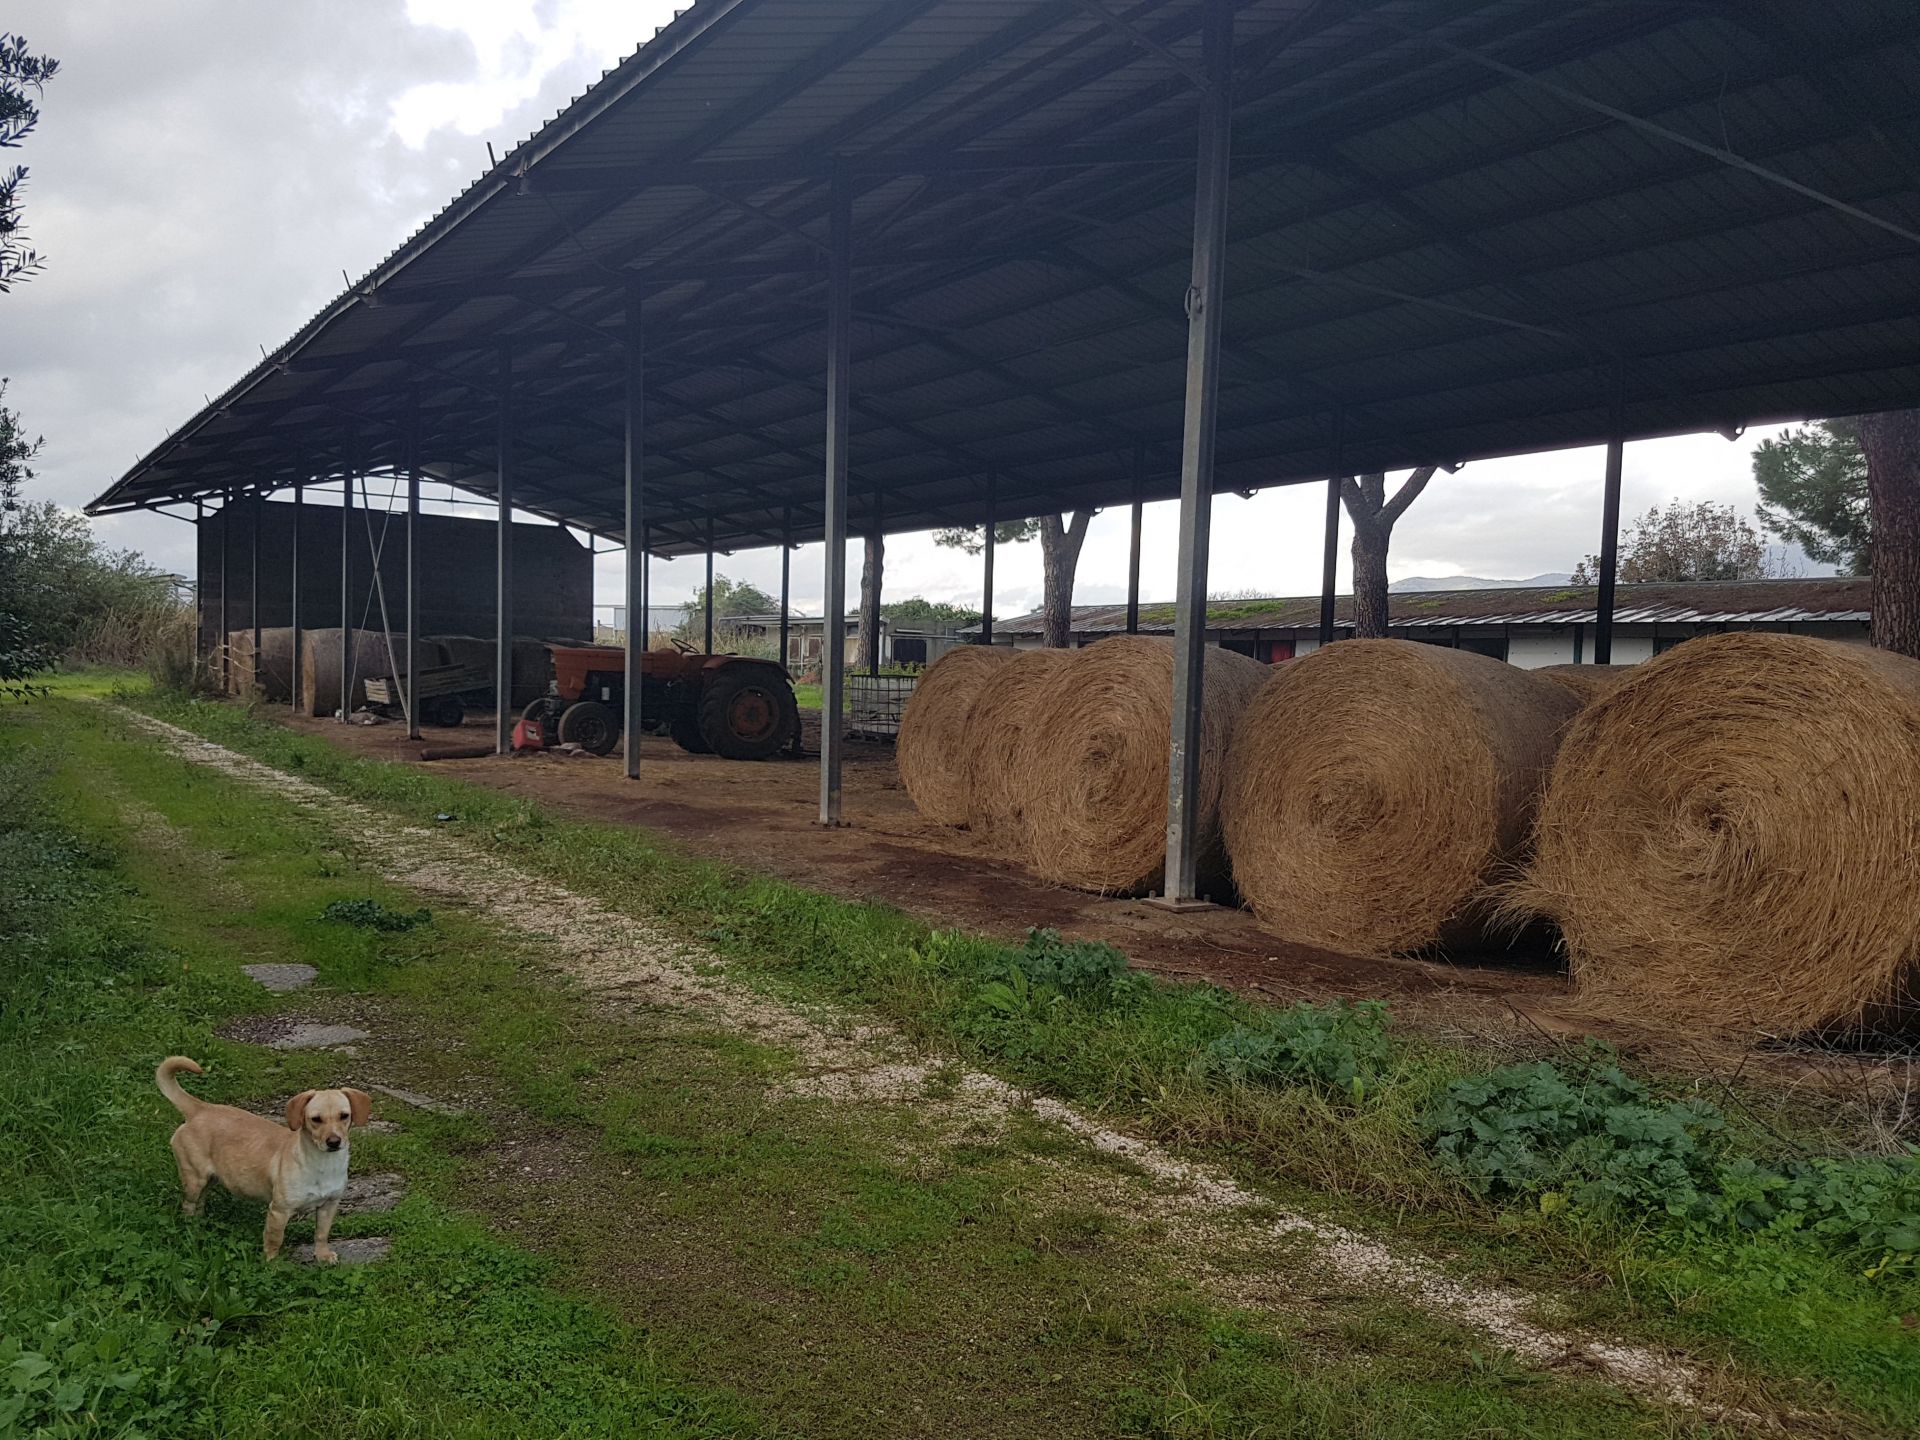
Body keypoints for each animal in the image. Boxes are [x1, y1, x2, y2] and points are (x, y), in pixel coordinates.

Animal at [157, 1059, 370, 1259]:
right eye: (315, 1119)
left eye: (344, 1116)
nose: (334, 1142)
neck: (322, 1164)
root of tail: (200, 1108)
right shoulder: (279, 1211)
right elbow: (274, 1240)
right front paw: (271, 1263)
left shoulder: (329, 1205)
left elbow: (321, 1234)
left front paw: (322, 1255)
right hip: (194, 1180)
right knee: (188, 1205)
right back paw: (189, 1231)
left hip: (209, 1180)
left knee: (199, 1204)